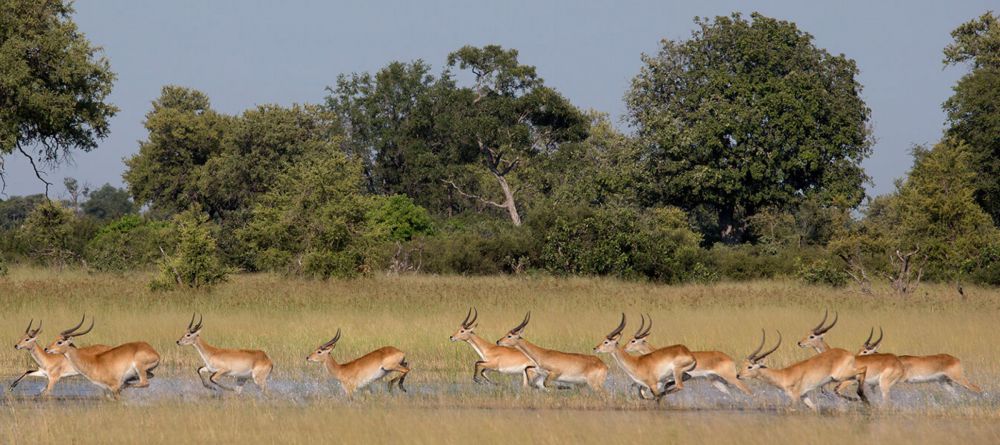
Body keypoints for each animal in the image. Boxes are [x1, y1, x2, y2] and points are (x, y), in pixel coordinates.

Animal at [624, 312, 752, 396]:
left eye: (633, 340)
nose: (624, 348)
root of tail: (730, 358)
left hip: (730, 378)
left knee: (747, 390)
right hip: (716, 380)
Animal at [736, 330, 868, 410]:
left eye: (750, 366)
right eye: (743, 364)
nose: (738, 375)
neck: (784, 375)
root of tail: (849, 353)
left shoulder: (795, 397)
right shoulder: (804, 396)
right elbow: (814, 408)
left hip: (839, 376)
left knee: (863, 369)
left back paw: (862, 397)